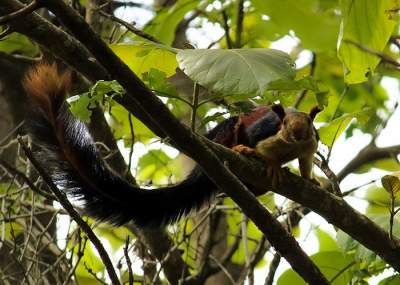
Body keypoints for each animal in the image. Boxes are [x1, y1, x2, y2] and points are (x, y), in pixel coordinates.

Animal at [23, 62, 320, 226]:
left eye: (306, 125)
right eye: (283, 123)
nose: (294, 133)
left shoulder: (310, 144)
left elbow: (306, 160)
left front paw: (310, 178)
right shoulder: (267, 127)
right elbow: (259, 140)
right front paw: (265, 158)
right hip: (226, 133)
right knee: (233, 129)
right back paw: (241, 153)